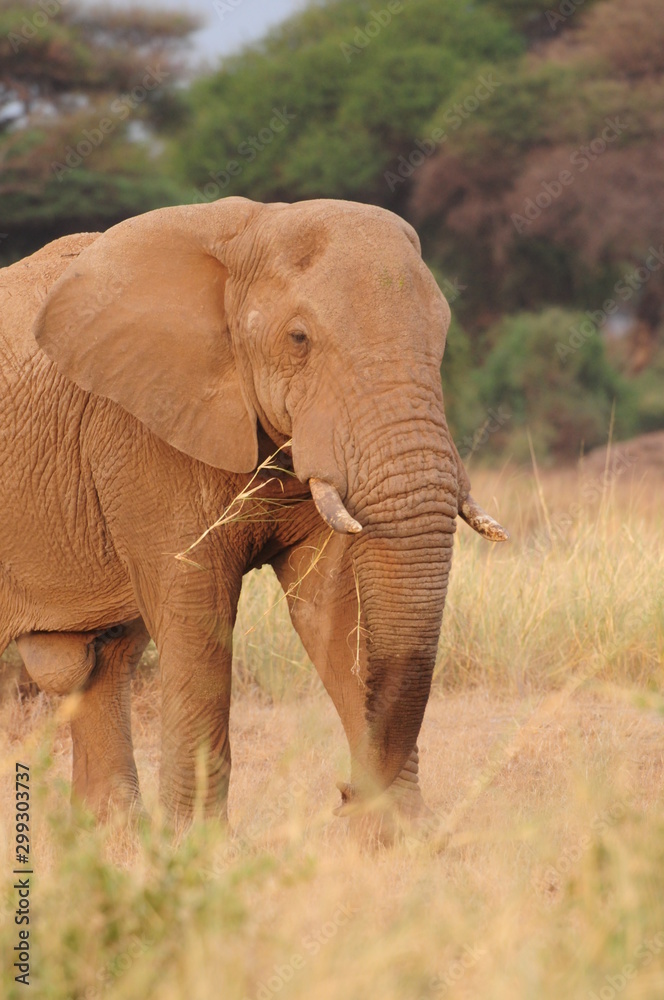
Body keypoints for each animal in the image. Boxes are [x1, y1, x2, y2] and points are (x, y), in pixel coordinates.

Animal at [0, 197, 507, 832]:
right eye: (298, 338)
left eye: (441, 337)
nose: (343, 795)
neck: (253, 229)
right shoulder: (139, 433)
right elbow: (197, 616)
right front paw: (194, 848)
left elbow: (332, 611)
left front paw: (397, 838)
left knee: (102, 662)